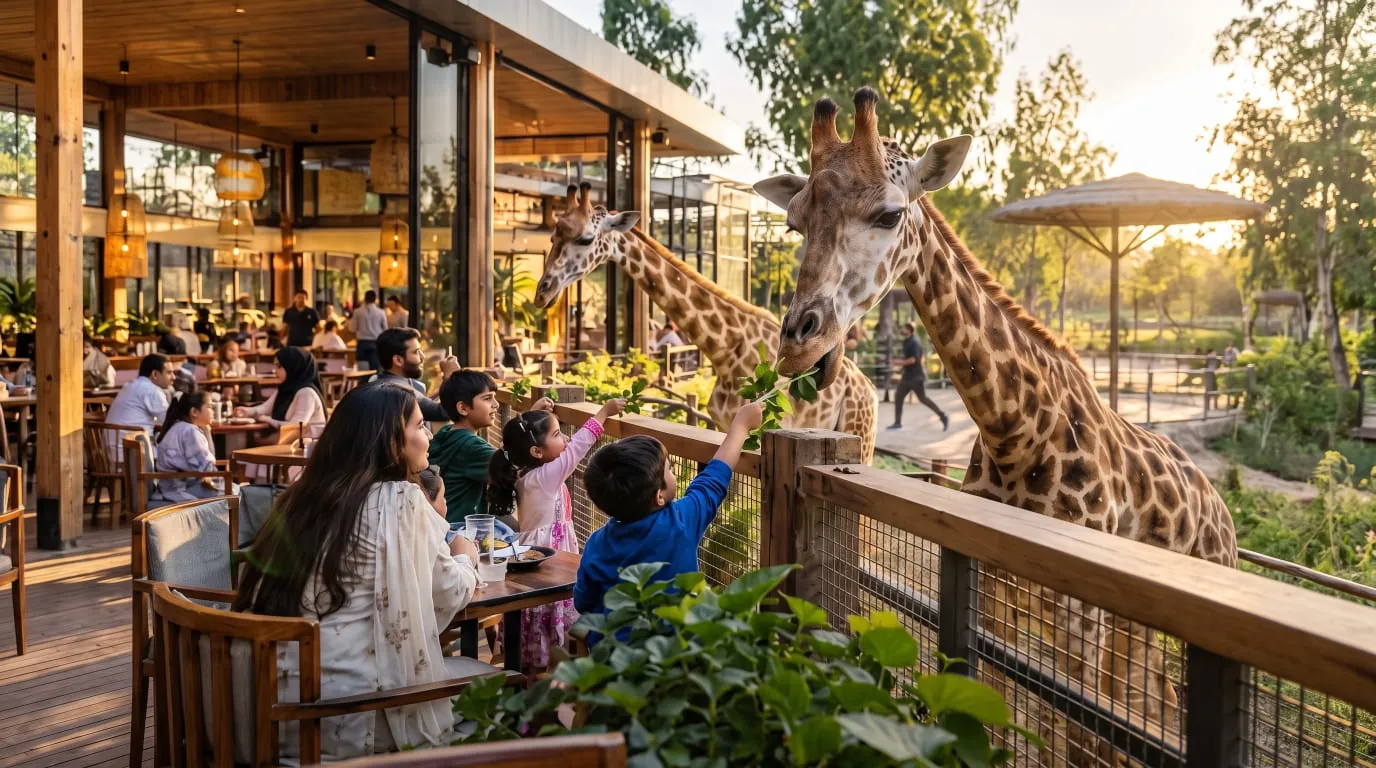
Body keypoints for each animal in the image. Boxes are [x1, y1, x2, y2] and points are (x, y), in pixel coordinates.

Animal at [532, 183, 878, 463]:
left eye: (586, 238)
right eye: (553, 236)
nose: (542, 292)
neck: (724, 349)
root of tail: (870, 390)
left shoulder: (767, 427)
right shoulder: (724, 424)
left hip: (861, 437)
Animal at [754, 88, 1237, 765]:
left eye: (889, 214)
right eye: (794, 224)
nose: (800, 344)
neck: (1015, 431)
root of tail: (1223, 514)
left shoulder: (1077, 612)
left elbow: (1068, 736)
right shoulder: (997, 592)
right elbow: (1001, 717)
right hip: (1133, 637)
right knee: (1145, 711)